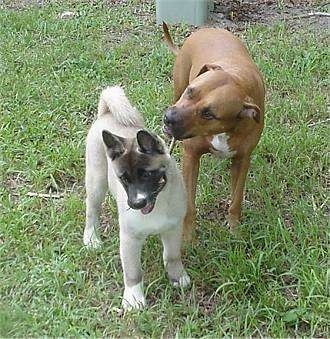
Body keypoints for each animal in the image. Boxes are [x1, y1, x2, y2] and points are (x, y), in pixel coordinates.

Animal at [162, 23, 266, 242]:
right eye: (191, 91)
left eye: (208, 114)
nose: (169, 118)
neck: (239, 81)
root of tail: (206, 28)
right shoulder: (191, 156)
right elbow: (189, 205)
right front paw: (188, 238)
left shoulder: (242, 160)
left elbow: (236, 199)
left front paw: (235, 230)